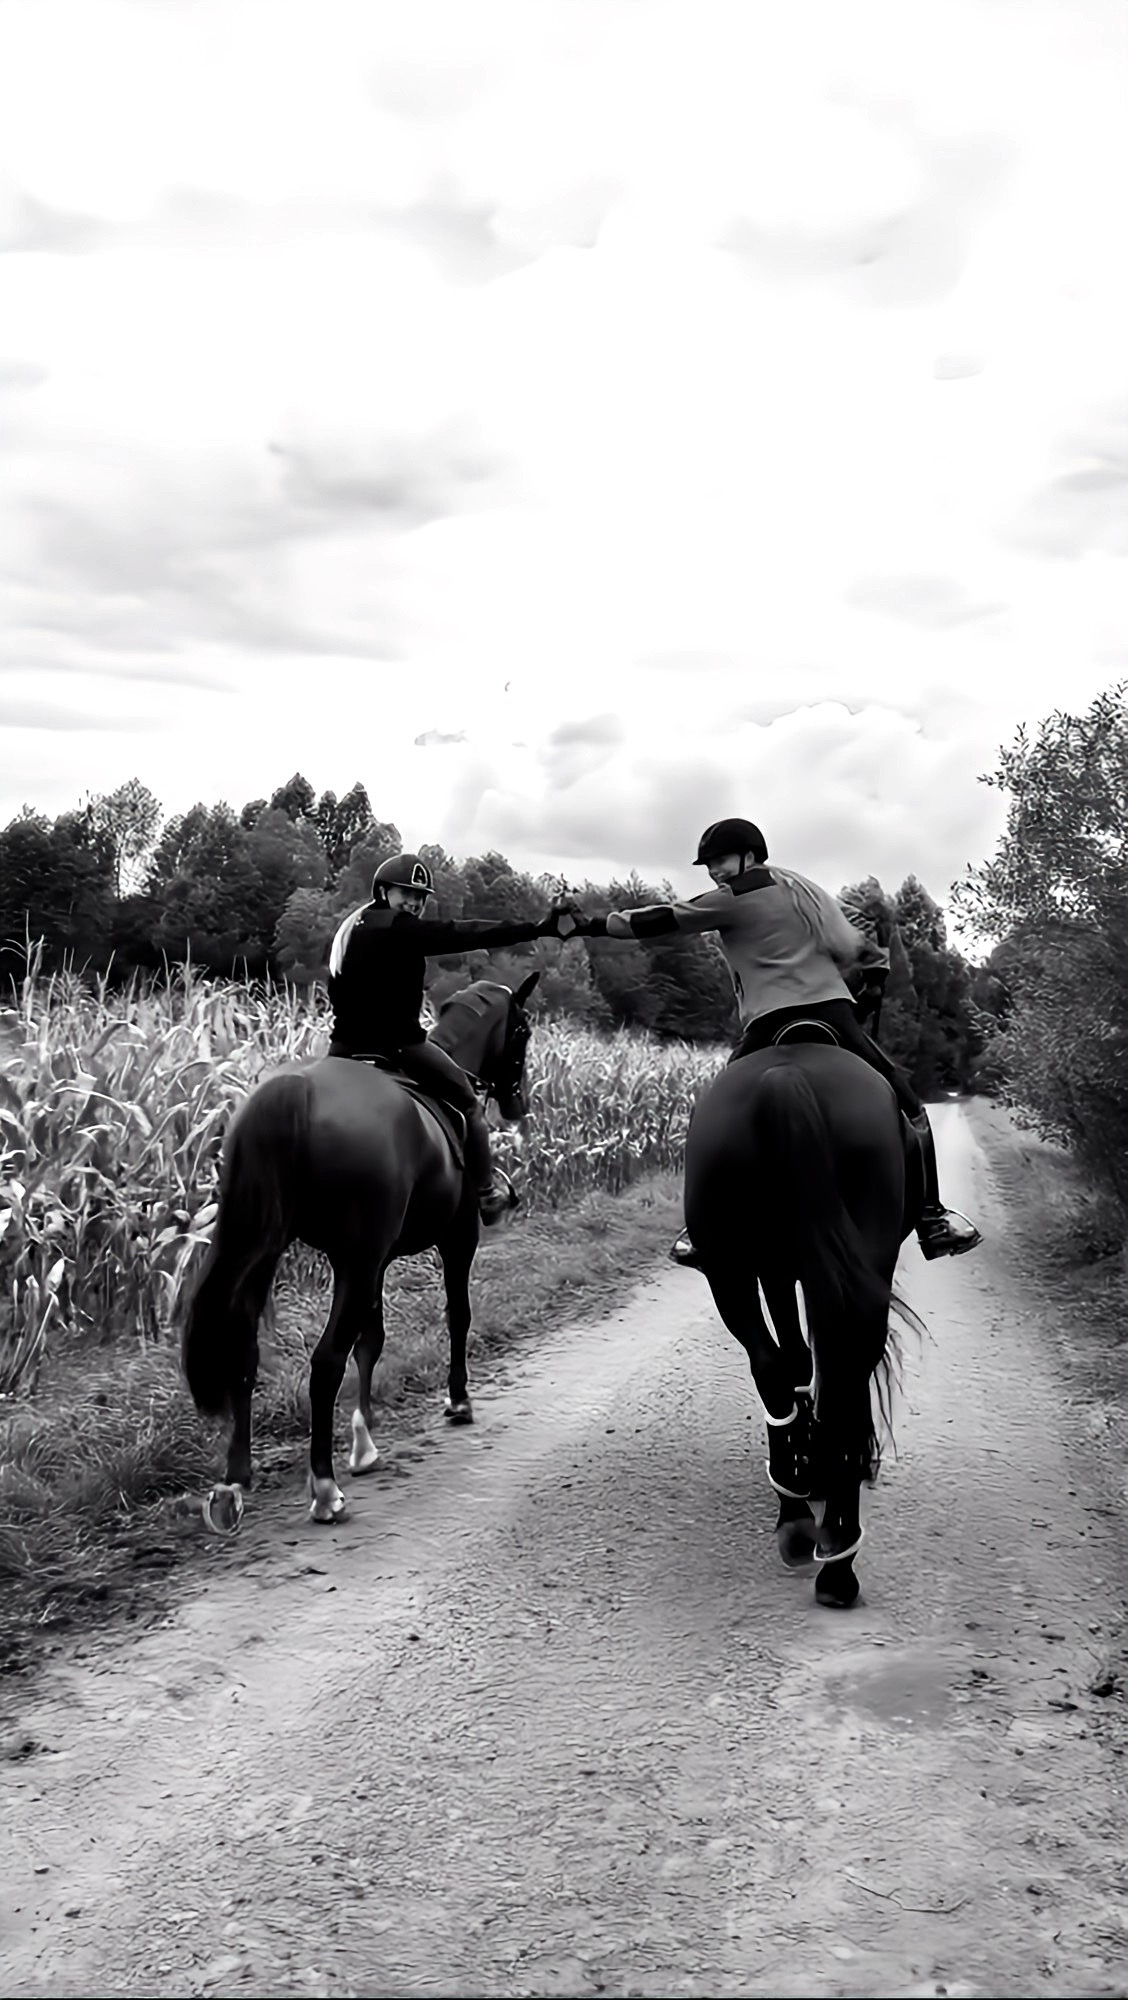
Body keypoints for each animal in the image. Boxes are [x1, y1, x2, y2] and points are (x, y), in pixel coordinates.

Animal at [181, 972, 541, 1526]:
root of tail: (296, 1090)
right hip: (361, 1254)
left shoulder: (368, 1259)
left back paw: (234, 1482)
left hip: (268, 1246)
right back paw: (324, 1489)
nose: (516, 1103)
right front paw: (458, 1401)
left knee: (245, 1347)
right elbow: (456, 1314)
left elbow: (371, 1340)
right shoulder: (452, 1240)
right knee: (326, 1360)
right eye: (522, 1031)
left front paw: (364, 1437)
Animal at [682, 1026, 925, 1609]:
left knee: (771, 1366)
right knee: (843, 1374)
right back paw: (838, 1554)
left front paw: (806, 1460)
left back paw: (795, 1515)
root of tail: (785, 1078)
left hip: (728, 1270)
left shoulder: (774, 1271)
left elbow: (794, 1358)